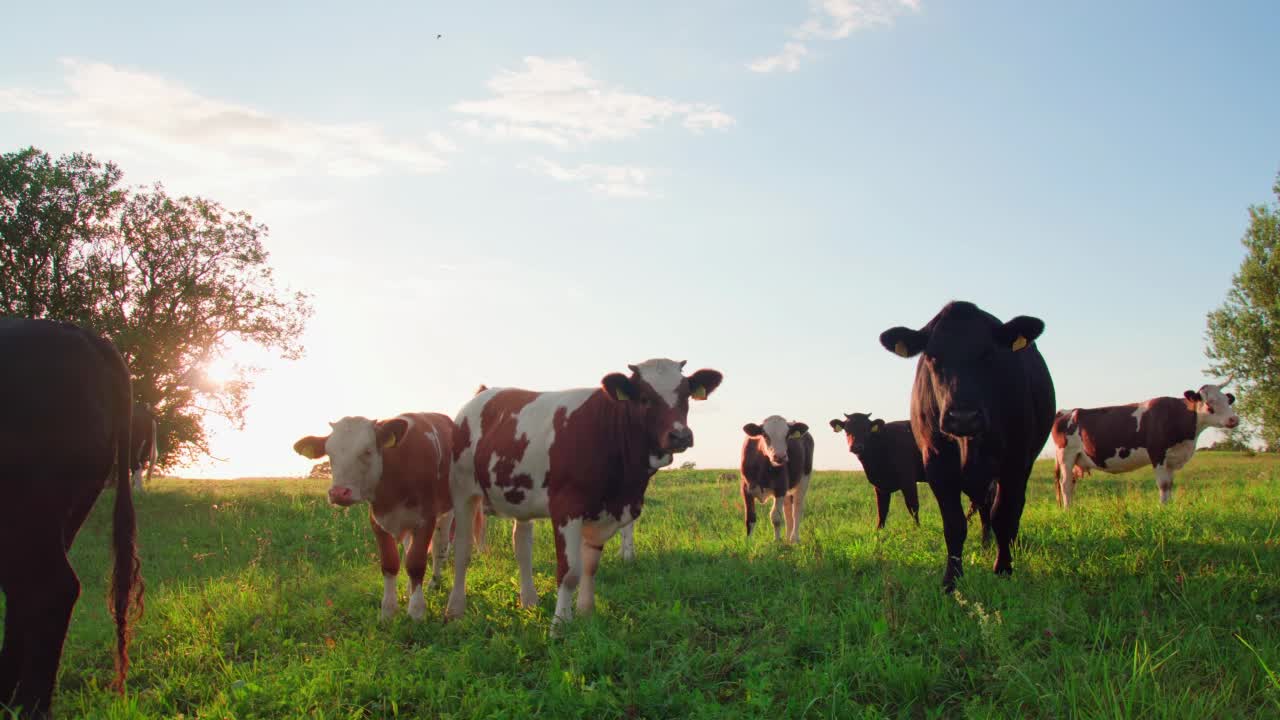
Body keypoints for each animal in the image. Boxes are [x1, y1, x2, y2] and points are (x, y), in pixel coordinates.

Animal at [294, 412, 460, 620]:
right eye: (329, 454)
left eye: (367, 451)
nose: (339, 493)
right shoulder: (377, 522)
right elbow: (390, 563)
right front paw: (388, 611)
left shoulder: (426, 520)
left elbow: (416, 564)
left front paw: (416, 611)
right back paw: (409, 589)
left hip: (447, 513)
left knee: (440, 547)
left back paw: (434, 583)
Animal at [445, 356, 721, 627]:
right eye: (644, 397)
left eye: (686, 395)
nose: (680, 435)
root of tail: (483, 393)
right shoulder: (566, 509)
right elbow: (569, 572)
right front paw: (560, 624)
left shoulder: (604, 512)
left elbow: (590, 566)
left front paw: (586, 613)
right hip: (462, 490)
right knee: (462, 549)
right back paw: (455, 609)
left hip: (519, 497)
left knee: (522, 548)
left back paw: (529, 601)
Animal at [885, 299, 1054, 591]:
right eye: (932, 356)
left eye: (988, 355)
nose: (962, 416)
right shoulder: (937, 463)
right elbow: (954, 524)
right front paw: (951, 581)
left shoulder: (1014, 462)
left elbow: (1004, 514)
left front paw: (1003, 569)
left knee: (1011, 508)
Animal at [1049, 376, 1239, 504]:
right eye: (1209, 403)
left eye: (1227, 400)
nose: (1234, 419)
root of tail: (1065, 411)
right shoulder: (1157, 454)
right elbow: (1163, 485)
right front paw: (1163, 510)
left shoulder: (1171, 458)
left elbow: (1170, 485)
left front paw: (1169, 507)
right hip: (1066, 456)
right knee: (1065, 484)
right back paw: (1068, 511)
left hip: (1078, 458)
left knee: (1071, 483)